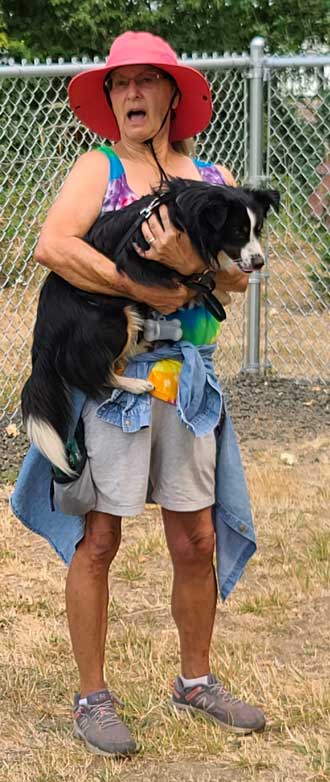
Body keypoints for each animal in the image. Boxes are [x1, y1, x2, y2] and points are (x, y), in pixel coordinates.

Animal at [21, 181, 278, 474]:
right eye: (237, 231)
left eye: (257, 230)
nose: (259, 263)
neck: (189, 213)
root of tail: (43, 333)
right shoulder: (142, 261)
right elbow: (194, 277)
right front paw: (209, 287)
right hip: (113, 319)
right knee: (91, 373)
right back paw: (135, 384)